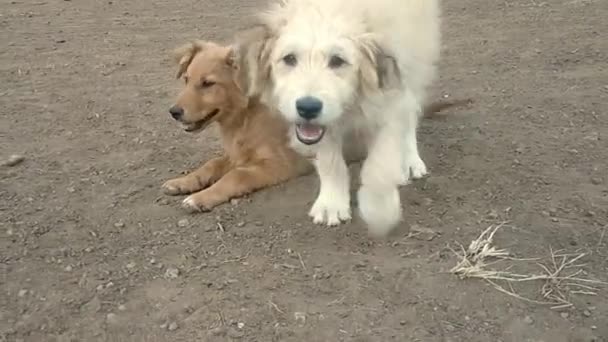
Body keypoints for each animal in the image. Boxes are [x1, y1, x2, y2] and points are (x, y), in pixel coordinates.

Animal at [164, 39, 472, 211]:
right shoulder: (237, 153)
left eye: (208, 83)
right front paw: (184, 182)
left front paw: (202, 198)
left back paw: (411, 163)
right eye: (186, 79)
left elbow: (235, 177)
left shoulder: (277, 165)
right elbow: (211, 164)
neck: (246, 116)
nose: (174, 112)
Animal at [233, 0, 436, 236]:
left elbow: (379, 164)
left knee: (410, 111)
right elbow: (330, 162)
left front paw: (379, 209)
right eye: (289, 58)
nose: (308, 107)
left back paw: (410, 161)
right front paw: (332, 203)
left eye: (337, 61)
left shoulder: (389, 99)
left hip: (417, 57)